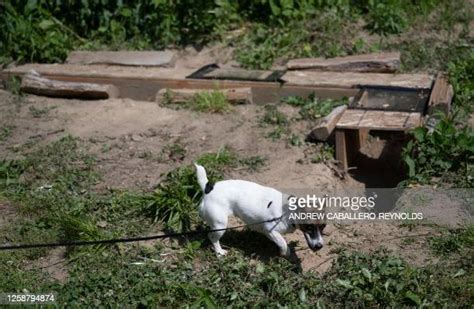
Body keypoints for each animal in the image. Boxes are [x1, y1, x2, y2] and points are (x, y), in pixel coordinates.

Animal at [193, 162, 326, 256]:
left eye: (323, 226)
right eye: (309, 227)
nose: (319, 246)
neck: (288, 212)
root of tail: (208, 188)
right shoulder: (271, 231)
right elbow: (283, 243)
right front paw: (285, 253)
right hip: (220, 225)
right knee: (212, 237)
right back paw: (219, 252)